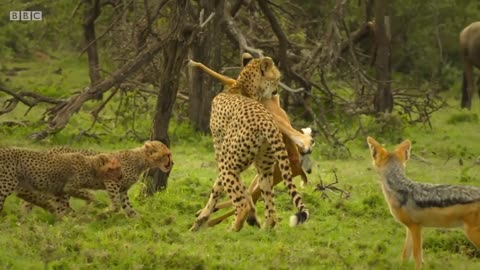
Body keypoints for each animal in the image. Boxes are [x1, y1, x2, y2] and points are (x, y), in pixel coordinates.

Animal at [39, 140, 172, 216]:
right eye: (167, 155)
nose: (173, 163)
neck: (142, 160)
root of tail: (50, 150)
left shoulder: (123, 189)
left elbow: (128, 208)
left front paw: (138, 223)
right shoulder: (112, 182)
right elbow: (117, 205)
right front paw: (105, 212)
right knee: (61, 205)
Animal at [189, 56, 310, 231]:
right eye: (277, 78)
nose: (276, 93)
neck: (242, 86)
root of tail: (267, 122)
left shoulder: (221, 155)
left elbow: (221, 189)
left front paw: (202, 218)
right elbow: (232, 189)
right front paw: (202, 218)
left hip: (231, 165)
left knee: (243, 206)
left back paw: (232, 230)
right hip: (265, 170)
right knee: (270, 210)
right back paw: (263, 229)